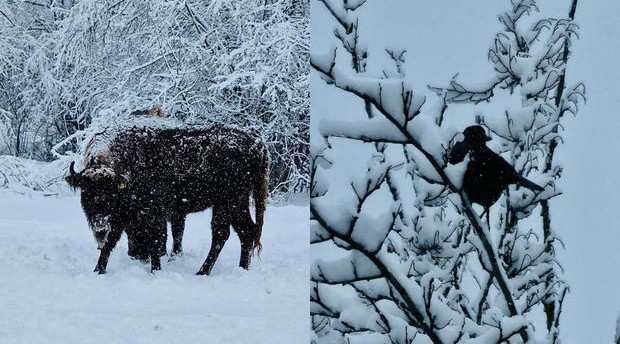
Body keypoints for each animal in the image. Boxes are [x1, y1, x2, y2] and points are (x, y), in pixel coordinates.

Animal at [66, 113, 268, 274]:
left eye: (111, 192)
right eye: (86, 191)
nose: (99, 221)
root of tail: (257, 143)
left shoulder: (151, 212)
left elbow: (155, 239)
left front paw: (155, 270)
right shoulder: (120, 216)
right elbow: (110, 242)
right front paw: (98, 270)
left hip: (226, 202)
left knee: (221, 234)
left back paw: (202, 272)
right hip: (237, 202)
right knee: (246, 231)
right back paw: (241, 268)